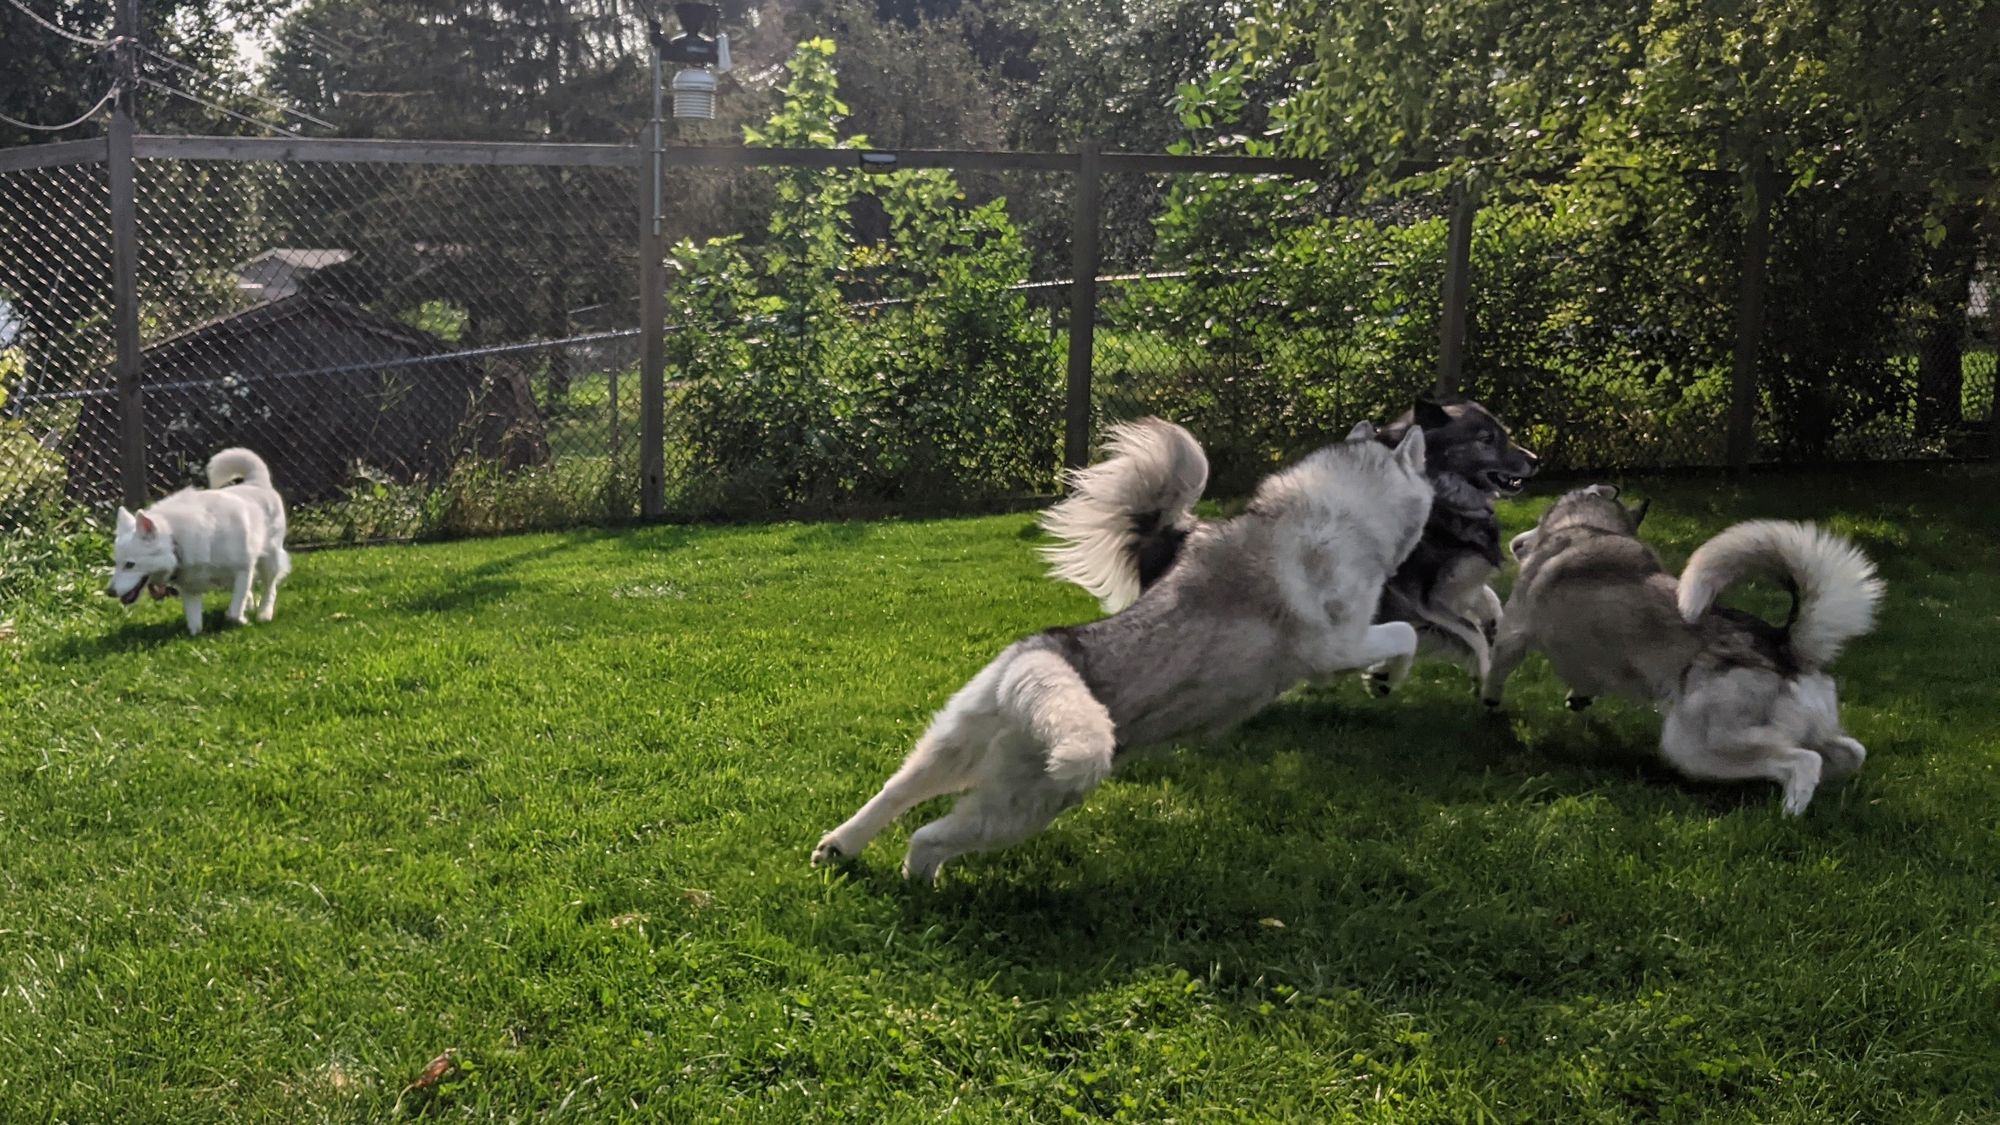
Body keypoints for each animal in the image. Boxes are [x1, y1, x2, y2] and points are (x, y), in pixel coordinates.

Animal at [106, 444, 292, 632]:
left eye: (130, 565)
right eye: (116, 563)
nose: (109, 592)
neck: (176, 541)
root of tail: (257, 482)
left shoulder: (243, 569)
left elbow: (233, 611)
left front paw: (241, 621)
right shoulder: (191, 591)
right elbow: (194, 627)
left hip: (269, 561)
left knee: (270, 589)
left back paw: (264, 614)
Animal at [1040, 394, 1536, 692]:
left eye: (1503, 434)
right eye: (1488, 438)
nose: (1533, 460)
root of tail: (1174, 531)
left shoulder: (1447, 592)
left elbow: (1488, 607)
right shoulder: (1418, 602)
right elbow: (1466, 635)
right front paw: (1482, 684)